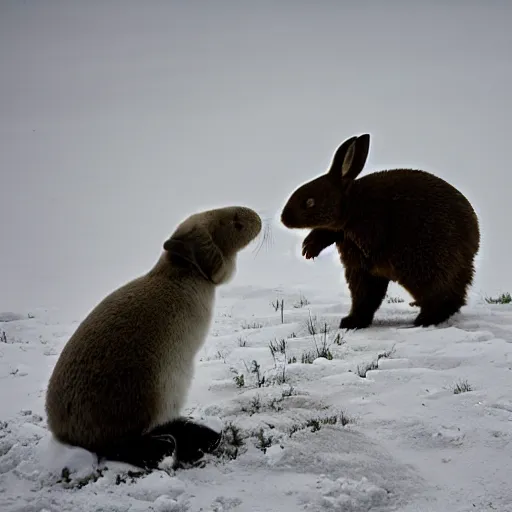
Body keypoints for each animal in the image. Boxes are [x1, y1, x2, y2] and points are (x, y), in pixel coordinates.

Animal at [280, 134, 480, 330]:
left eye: (309, 202)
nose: (283, 218)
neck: (353, 204)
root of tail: (473, 240)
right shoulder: (359, 264)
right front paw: (309, 249)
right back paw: (354, 321)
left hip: (425, 266)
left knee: (442, 295)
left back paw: (426, 319)